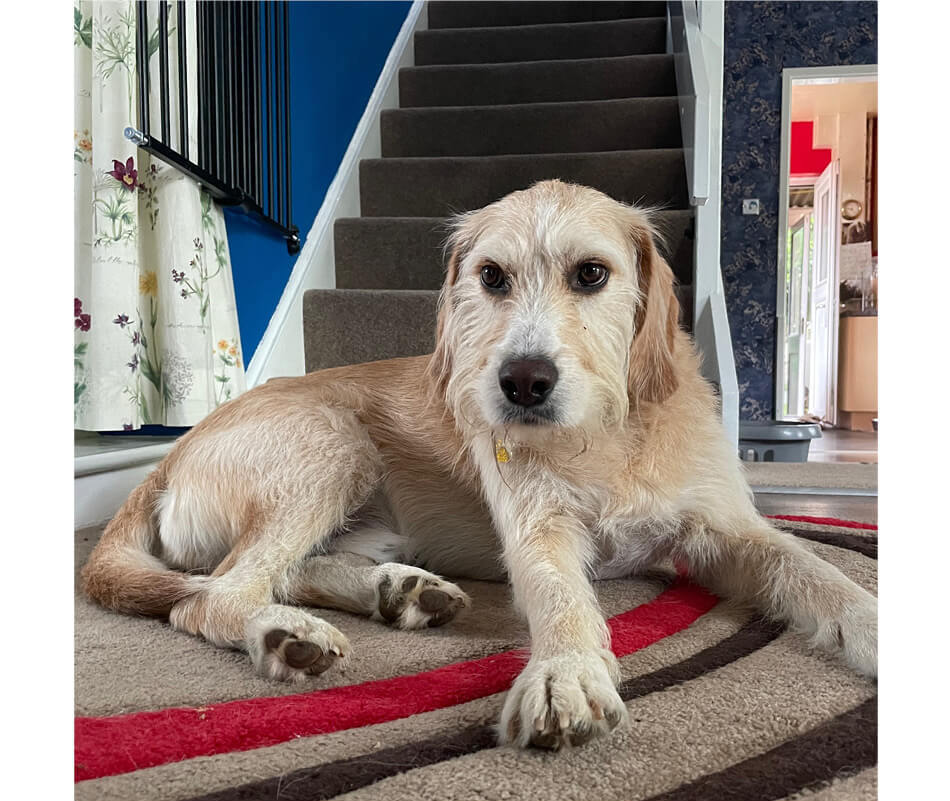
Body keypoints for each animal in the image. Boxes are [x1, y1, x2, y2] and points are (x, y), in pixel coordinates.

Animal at [82, 181, 876, 752]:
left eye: (592, 274)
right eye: (491, 277)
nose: (523, 381)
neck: (607, 432)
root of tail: (170, 456)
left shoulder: (728, 529)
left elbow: (816, 570)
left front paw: (871, 619)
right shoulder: (539, 534)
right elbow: (561, 597)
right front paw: (567, 668)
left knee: (288, 570)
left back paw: (398, 590)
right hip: (330, 440)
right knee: (213, 592)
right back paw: (285, 633)